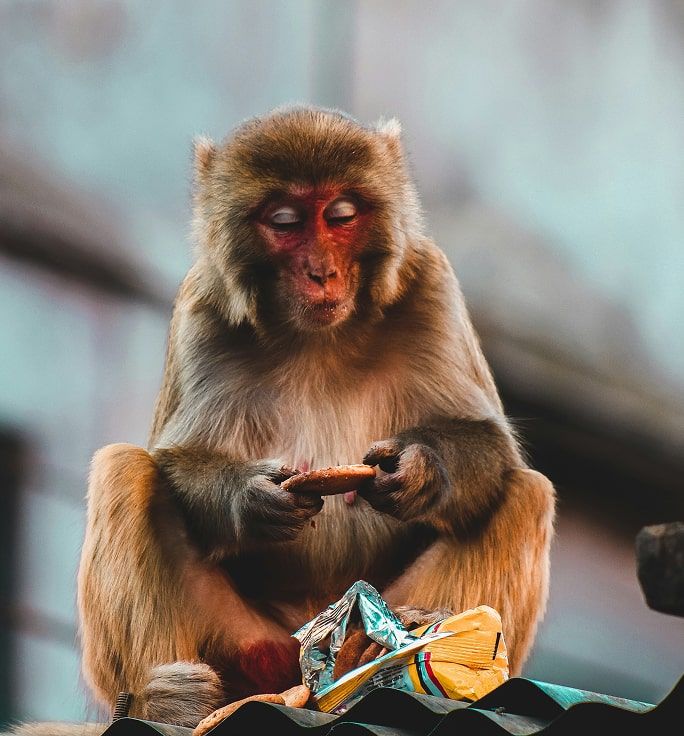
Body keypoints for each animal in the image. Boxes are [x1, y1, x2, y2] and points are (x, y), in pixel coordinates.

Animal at [5, 107, 555, 735]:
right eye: (285, 222)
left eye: (341, 215)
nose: (321, 273)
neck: (319, 337)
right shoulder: (203, 304)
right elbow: (177, 461)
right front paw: (251, 498)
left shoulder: (429, 282)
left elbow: (490, 446)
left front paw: (417, 472)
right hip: (243, 642)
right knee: (126, 469)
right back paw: (160, 702)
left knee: (523, 491)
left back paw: (406, 636)